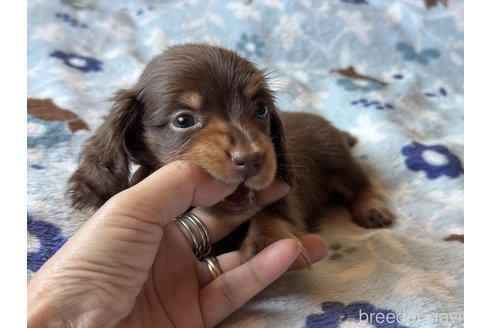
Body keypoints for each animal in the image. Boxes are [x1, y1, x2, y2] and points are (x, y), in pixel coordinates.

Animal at [66, 43, 396, 266]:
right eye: (183, 120)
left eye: (261, 110)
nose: (251, 159)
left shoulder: (283, 194)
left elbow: (272, 211)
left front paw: (269, 240)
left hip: (340, 162)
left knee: (361, 185)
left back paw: (372, 209)